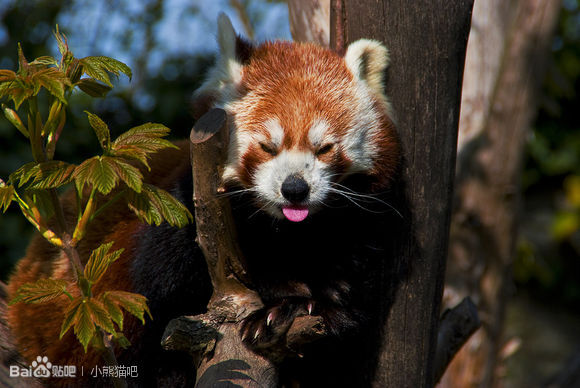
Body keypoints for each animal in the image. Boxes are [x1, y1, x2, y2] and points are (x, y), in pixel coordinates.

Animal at [5, 13, 398, 386]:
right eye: (267, 147)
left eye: (324, 148)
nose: (295, 188)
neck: (286, 231)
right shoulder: (177, 217)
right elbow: (163, 290)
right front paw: (282, 299)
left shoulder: (363, 226)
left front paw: (326, 303)